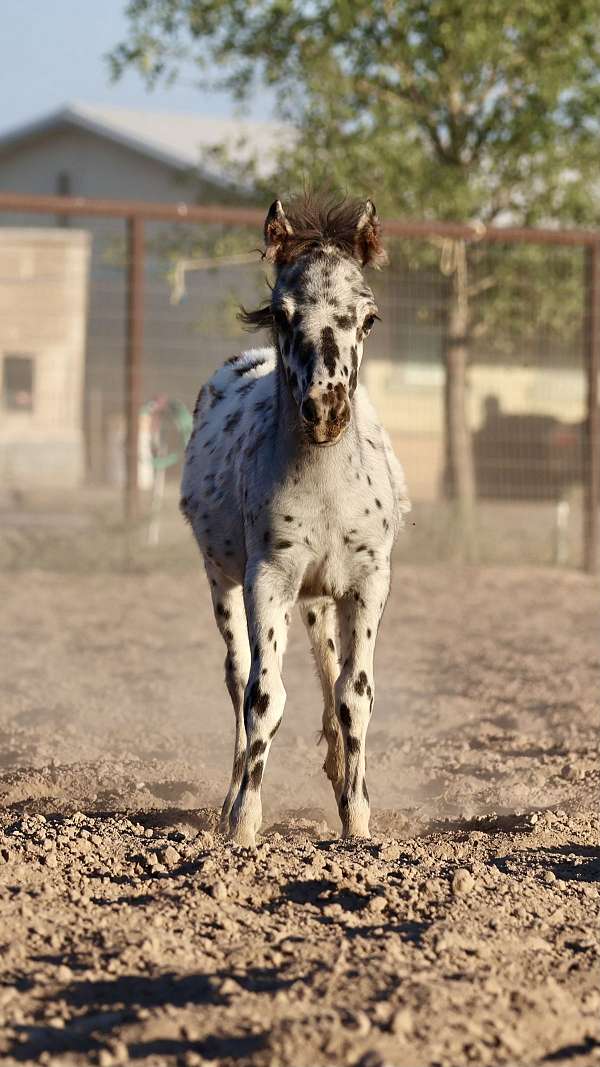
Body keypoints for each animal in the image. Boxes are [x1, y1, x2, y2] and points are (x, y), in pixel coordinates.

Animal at [179, 189, 407, 840]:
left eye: (368, 317)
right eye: (283, 314)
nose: (325, 409)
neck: (327, 490)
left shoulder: (367, 582)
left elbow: (355, 695)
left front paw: (357, 820)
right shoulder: (269, 579)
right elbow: (264, 695)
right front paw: (243, 823)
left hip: (320, 597)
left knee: (329, 675)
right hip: (224, 581)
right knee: (238, 678)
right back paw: (229, 797)